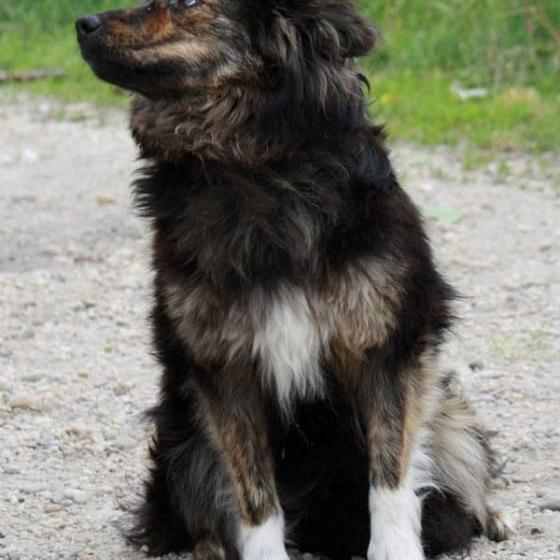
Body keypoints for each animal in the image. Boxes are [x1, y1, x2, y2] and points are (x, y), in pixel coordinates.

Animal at [76, 1, 510, 558]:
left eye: (190, 4)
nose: (82, 24)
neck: (251, 160)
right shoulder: (224, 367)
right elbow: (254, 493)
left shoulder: (387, 346)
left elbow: (392, 473)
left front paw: (393, 547)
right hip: (186, 445)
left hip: (453, 418)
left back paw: (493, 516)